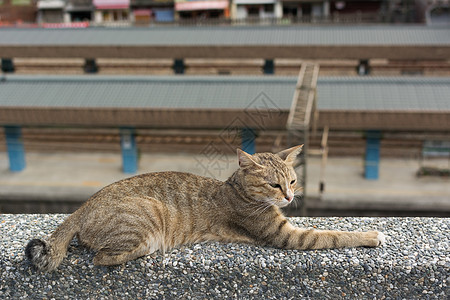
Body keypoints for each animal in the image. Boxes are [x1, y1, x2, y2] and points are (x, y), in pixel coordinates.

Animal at [24, 145, 384, 272]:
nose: (289, 197)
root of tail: (82, 208)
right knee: (103, 257)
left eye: (293, 181)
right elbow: (334, 235)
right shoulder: (287, 235)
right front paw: (371, 235)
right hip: (148, 216)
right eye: (273, 185)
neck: (238, 190)